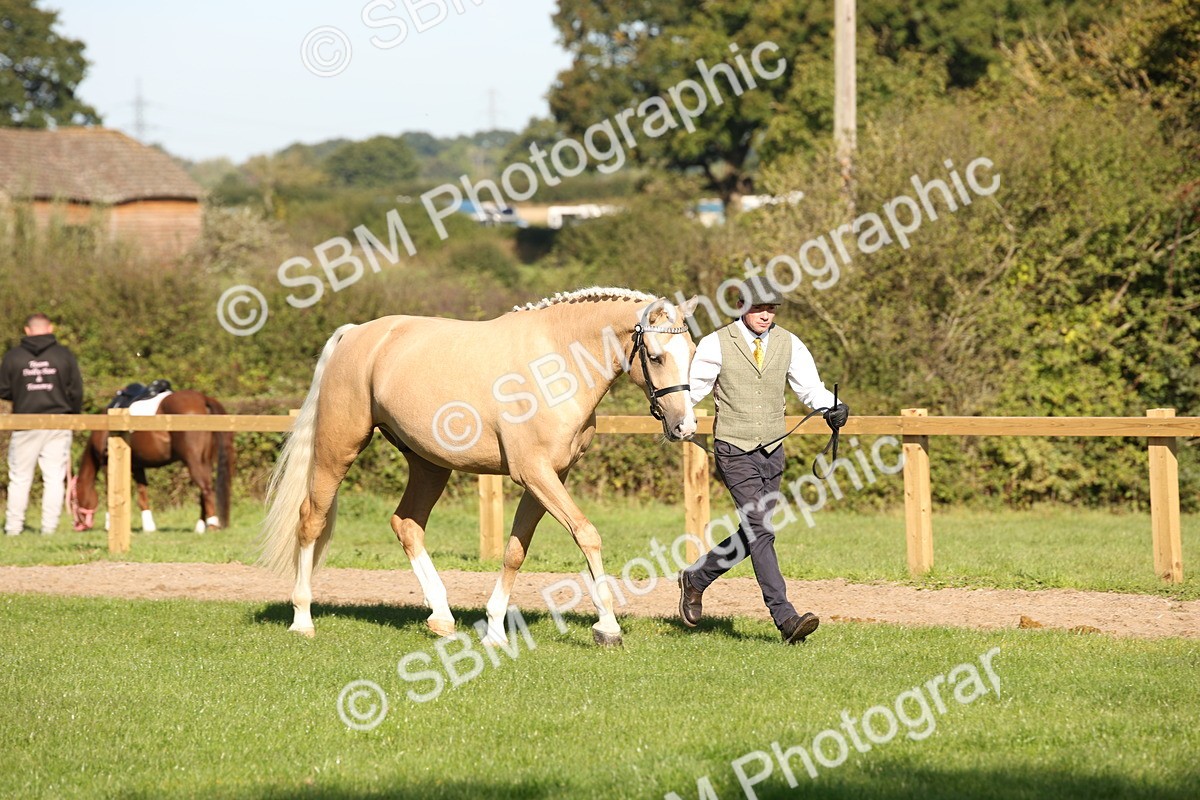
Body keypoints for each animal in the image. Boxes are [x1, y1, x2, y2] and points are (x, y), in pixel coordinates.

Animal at [72, 389, 235, 534]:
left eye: (73, 499)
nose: (78, 525)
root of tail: (203, 399)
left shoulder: (108, 465)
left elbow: (110, 493)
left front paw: (109, 525)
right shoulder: (137, 466)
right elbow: (142, 494)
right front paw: (149, 527)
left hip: (194, 462)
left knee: (206, 489)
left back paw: (212, 525)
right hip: (205, 462)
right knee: (203, 491)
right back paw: (200, 527)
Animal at [260, 287, 700, 647]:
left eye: (693, 354)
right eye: (656, 357)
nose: (685, 426)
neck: (558, 362)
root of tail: (354, 334)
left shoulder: (550, 477)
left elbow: (515, 551)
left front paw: (494, 630)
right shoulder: (535, 474)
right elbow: (586, 534)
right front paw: (607, 627)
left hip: (428, 465)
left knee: (407, 524)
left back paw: (441, 617)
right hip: (338, 449)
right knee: (310, 520)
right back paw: (302, 619)